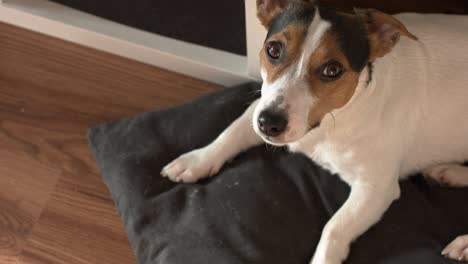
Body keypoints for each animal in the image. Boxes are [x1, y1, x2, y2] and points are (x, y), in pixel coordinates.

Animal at [161, 0, 468, 262]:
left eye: (332, 70)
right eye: (273, 50)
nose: (270, 123)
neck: (328, 125)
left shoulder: (375, 189)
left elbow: (334, 227)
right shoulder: (260, 105)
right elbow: (231, 132)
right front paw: (197, 161)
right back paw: (449, 172)